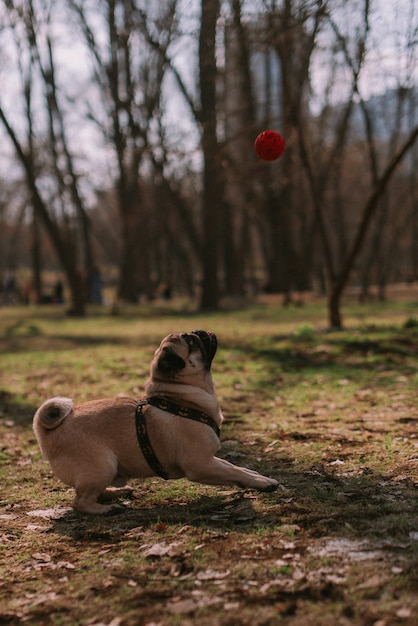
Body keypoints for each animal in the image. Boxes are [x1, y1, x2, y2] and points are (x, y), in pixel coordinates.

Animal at [32, 326, 280, 512]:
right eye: (191, 341)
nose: (198, 330)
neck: (181, 397)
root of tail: (47, 432)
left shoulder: (211, 459)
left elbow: (237, 468)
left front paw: (257, 476)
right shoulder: (200, 464)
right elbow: (234, 472)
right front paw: (263, 483)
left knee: (92, 493)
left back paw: (117, 493)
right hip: (102, 466)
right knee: (80, 502)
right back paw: (107, 509)